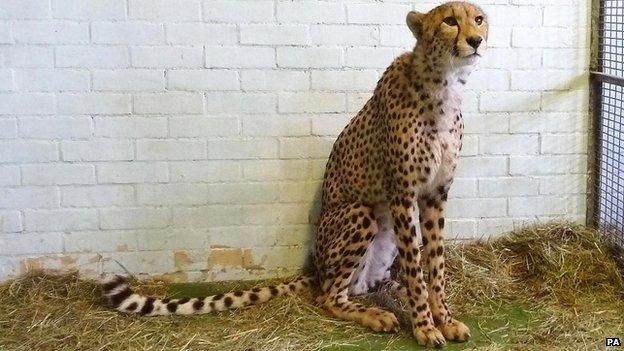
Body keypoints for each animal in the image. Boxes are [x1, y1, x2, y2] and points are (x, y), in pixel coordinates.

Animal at [103, 2, 488, 350]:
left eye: (479, 18)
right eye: (450, 21)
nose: (476, 40)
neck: (445, 83)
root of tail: (316, 271)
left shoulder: (436, 194)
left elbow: (434, 263)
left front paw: (444, 318)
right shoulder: (403, 195)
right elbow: (418, 269)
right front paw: (424, 326)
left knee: (362, 286)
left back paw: (389, 291)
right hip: (361, 214)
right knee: (329, 297)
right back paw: (376, 314)